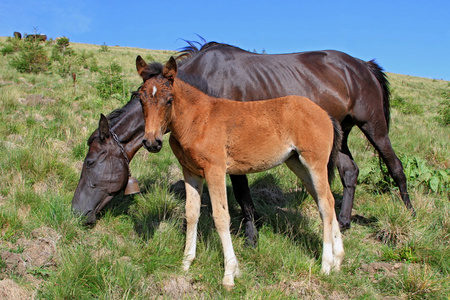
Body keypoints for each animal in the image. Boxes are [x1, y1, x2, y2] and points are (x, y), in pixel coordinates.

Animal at [137, 56, 344, 288]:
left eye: (169, 99)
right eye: (140, 99)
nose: (152, 142)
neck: (197, 120)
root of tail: (326, 114)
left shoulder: (215, 170)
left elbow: (221, 217)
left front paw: (229, 273)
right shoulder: (191, 172)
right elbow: (191, 213)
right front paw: (186, 263)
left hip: (315, 163)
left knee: (325, 205)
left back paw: (326, 265)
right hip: (297, 164)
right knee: (327, 201)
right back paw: (338, 260)